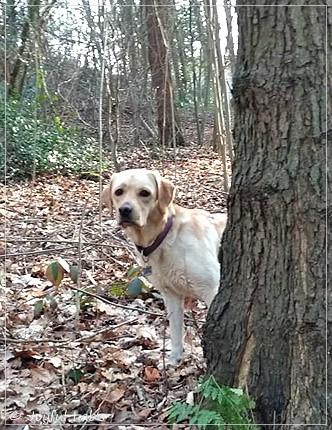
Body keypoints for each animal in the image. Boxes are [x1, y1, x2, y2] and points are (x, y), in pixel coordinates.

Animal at [103, 170, 228, 364]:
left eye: (144, 193)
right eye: (119, 192)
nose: (124, 210)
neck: (163, 236)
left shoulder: (211, 289)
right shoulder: (171, 294)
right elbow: (176, 331)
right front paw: (174, 360)